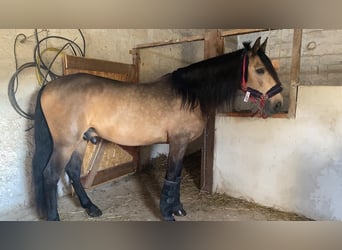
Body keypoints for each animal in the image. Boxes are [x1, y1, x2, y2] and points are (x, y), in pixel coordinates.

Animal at [31, 36, 284, 221]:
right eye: (260, 69)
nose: (279, 103)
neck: (189, 94)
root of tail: (49, 86)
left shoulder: (181, 143)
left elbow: (178, 176)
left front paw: (178, 208)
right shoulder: (178, 141)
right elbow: (171, 176)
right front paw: (167, 213)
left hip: (82, 140)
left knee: (73, 172)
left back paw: (91, 208)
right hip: (65, 143)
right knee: (50, 174)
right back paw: (55, 217)